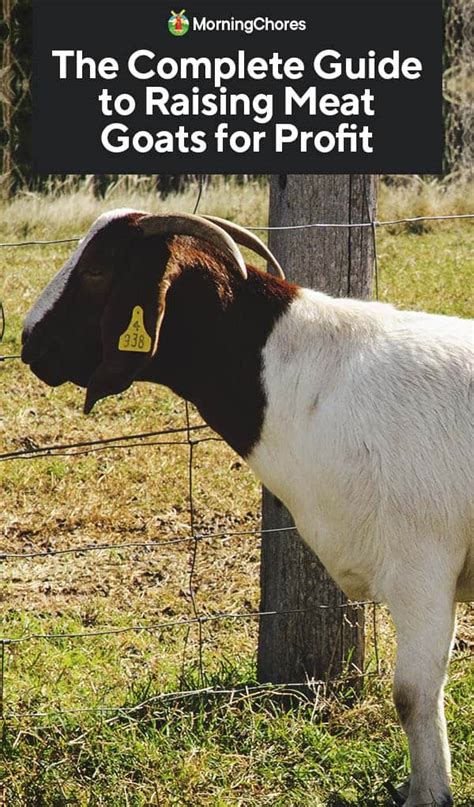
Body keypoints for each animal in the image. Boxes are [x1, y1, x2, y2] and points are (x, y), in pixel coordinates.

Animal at [22, 209, 473, 807]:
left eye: (97, 270)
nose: (29, 340)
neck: (313, 383)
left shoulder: (421, 568)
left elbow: (412, 694)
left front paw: (428, 793)